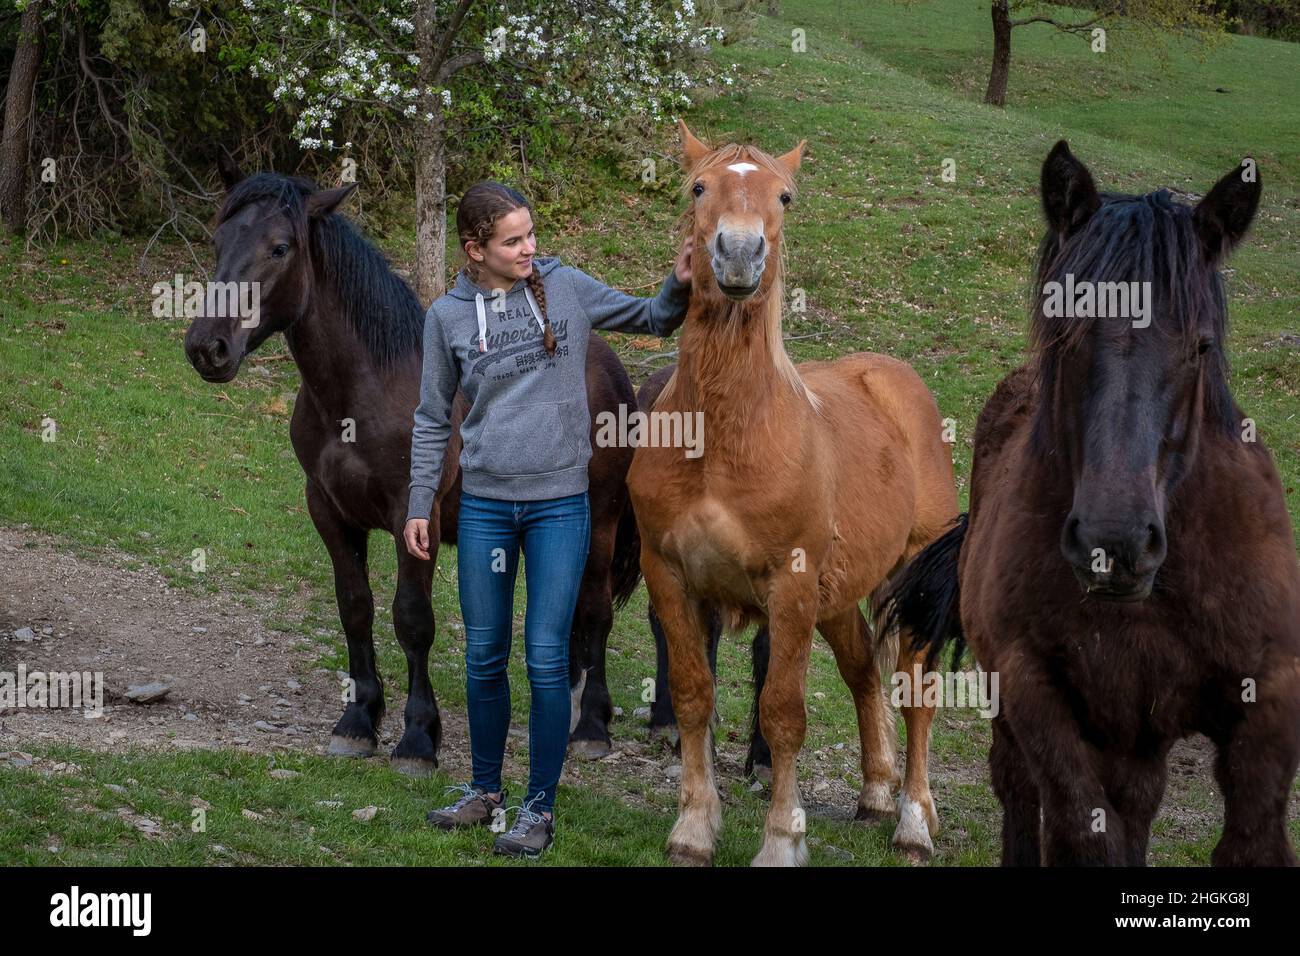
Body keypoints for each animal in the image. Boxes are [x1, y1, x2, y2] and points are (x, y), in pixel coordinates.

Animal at [184, 162, 644, 780]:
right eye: (219, 242)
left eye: (279, 248)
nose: (207, 347)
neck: (363, 394)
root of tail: (609, 364)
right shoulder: (328, 511)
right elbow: (355, 608)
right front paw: (357, 722)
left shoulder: (413, 515)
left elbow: (412, 619)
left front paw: (418, 738)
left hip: (600, 521)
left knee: (594, 611)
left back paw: (591, 726)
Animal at [624, 121, 961, 868]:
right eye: (699, 187)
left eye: (785, 195)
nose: (739, 252)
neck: (725, 436)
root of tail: (895, 379)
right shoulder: (670, 577)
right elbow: (692, 696)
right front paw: (695, 826)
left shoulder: (792, 587)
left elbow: (781, 714)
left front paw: (782, 839)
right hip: (838, 598)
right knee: (865, 672)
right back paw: (876, 792)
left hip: (907, 581)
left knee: (917, 694)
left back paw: (913, 819)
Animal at [883, 141, 1300, 868]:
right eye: (1065, 331)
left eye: (1201, 345)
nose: (1116, 542)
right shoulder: (1039, 696)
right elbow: (1081, 833)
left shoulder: (1270, 696)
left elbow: (1252, 840)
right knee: (1020, 790)